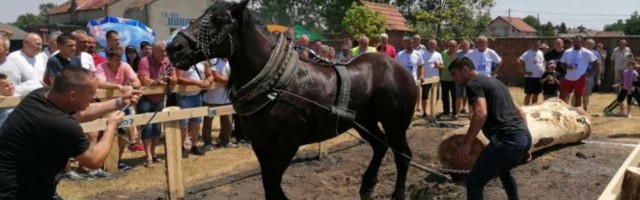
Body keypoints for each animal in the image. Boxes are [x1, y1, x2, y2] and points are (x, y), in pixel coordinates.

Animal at [166, 1, 416, 198]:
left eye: (219, 19)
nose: (173, 47)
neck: (278, 85)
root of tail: (400, 68)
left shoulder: (288, 142)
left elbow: (273, 183)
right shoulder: (260, 142)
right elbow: (268, 184)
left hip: (396, 124)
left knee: (402, 155)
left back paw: (397, 194)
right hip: (365, 122)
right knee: (380, 147)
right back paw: (366, 187)